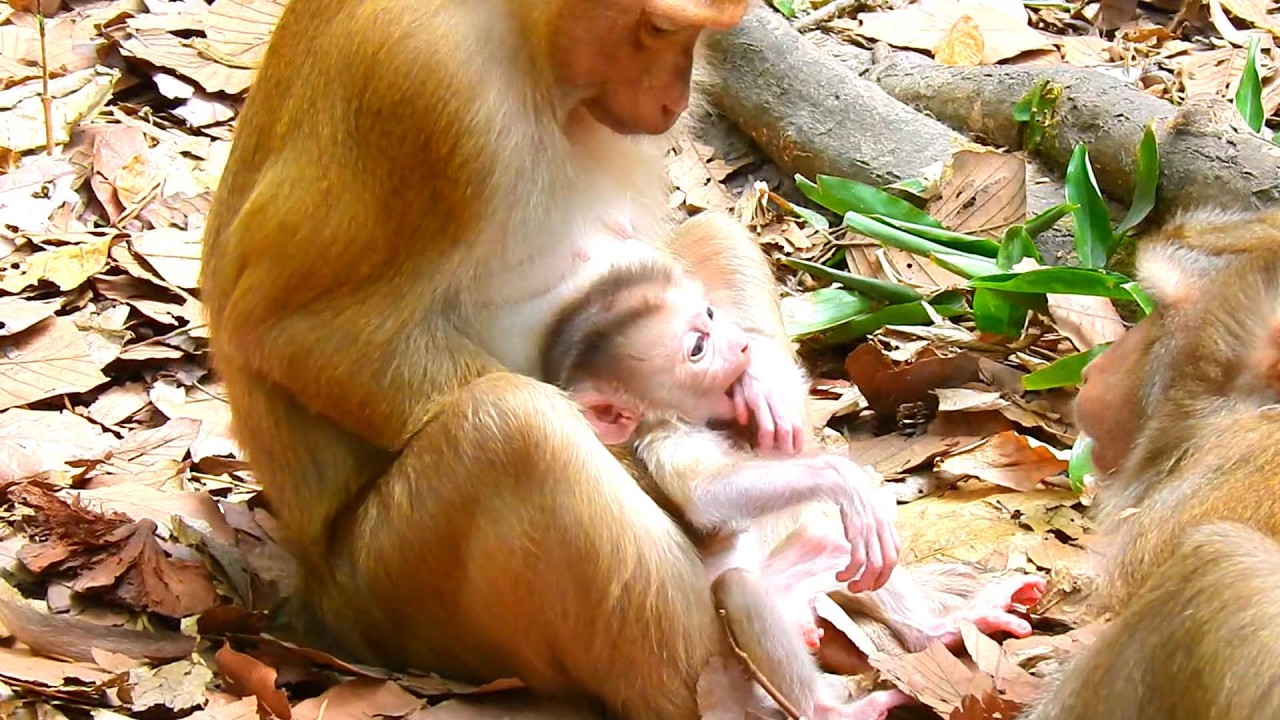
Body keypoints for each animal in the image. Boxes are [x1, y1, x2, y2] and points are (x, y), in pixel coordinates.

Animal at [198, 1, 903, 715]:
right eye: (658, 28)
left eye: (692, 34)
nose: (675, 97)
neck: (527, 49)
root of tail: (314, 593)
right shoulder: (422, 83)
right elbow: (291, 330)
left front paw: (758, 384)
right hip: (397, 595)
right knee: (517, 428)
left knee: (713, 230)